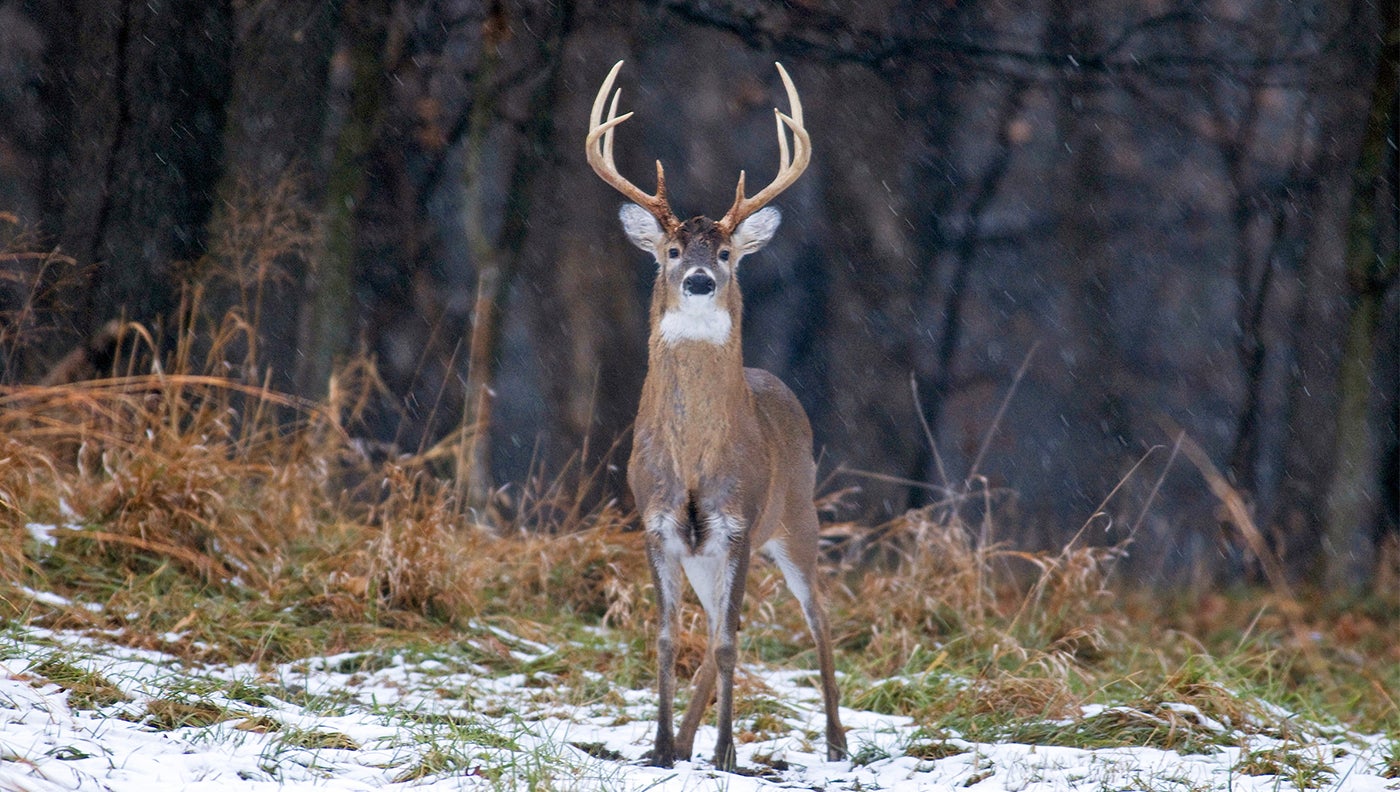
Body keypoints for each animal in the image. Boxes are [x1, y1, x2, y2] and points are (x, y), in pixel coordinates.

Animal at [584, 60, 847, 772]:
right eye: (673, 252)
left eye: (726, 253)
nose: (701, 279)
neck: (697, 461)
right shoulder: (656, 524)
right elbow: (669, 639)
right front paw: (658, 750)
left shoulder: (737, 524)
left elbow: (727, 644)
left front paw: (727, 751)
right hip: (712, 553)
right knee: (719, 625)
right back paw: (684, 739)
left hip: (796, 520)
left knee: (815, 617)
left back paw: (837, 742)